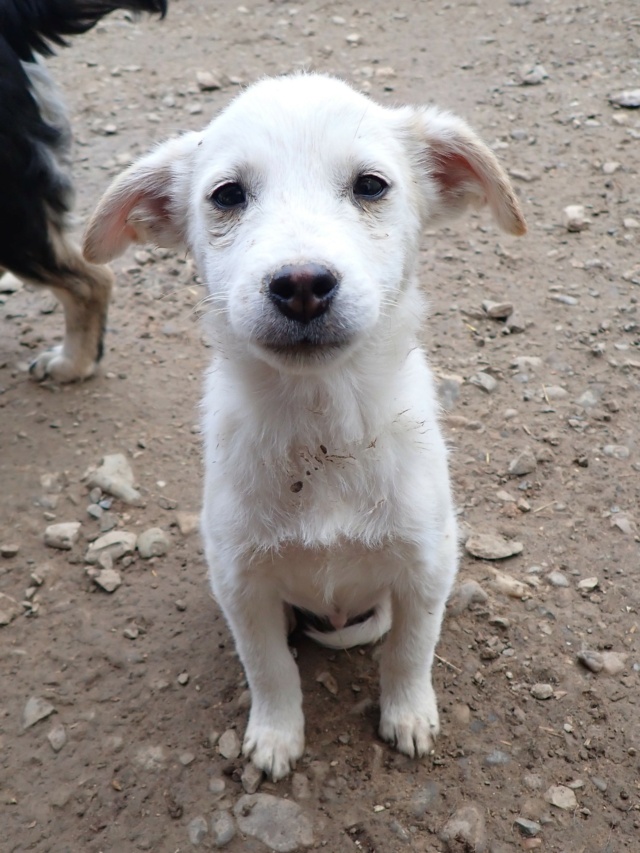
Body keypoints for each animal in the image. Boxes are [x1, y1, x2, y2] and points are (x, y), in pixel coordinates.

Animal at [85, 73, 524, 780]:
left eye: (371, 185)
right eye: (227, 195)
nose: (301, 284)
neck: (322, 431)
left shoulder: (426, 567)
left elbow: (409, 651)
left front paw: (408, 715)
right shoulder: (242, 585)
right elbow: (269, 668)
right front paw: (274, 735)